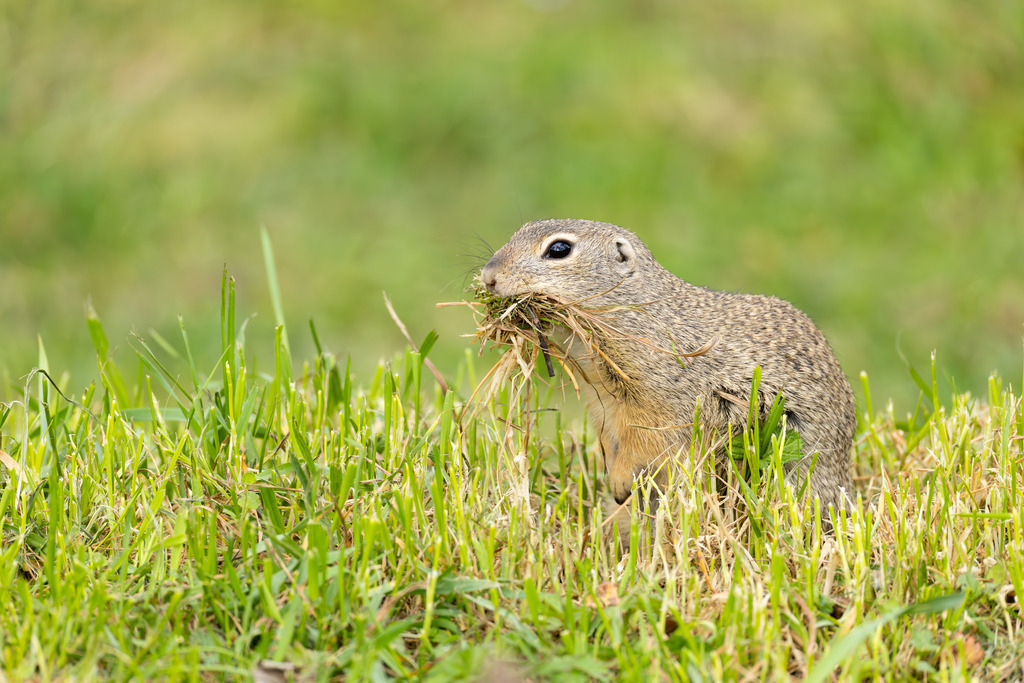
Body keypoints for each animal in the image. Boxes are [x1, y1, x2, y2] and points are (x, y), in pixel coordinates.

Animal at [480, 218, 856, 524]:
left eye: (559, 249)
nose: (488, 276)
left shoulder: (660, 403)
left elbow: (642, 442)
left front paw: (619, 480)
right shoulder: (602, 404)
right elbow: (610, 440)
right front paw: (613, 480)